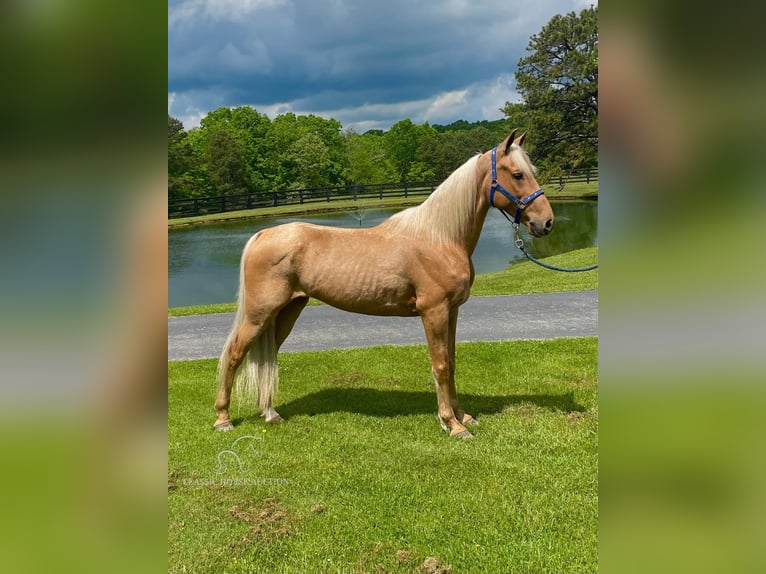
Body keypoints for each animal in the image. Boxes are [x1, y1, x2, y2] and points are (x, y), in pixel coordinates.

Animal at [213, 130, 556, 438]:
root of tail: (262, 234)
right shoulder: (434, 312)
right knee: (234, 354)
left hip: (286, 312)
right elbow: (440, 365)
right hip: (260, 314)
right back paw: (223, 419)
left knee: (266, 356)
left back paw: (271, 414)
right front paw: (452, 425)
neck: (439, 236)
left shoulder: (452, 312)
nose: (547, 222)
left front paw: (463, 416)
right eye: (517, 174)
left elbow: (452, 362)